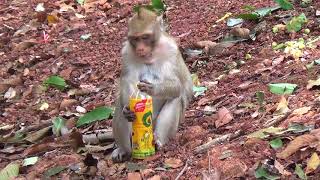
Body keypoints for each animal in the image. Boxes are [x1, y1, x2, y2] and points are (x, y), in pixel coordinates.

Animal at [112, 7, 192, 162]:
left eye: (145, 37)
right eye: (135, 39)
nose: (140, 49)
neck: (151, 53)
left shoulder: (171, 49)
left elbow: (178, 86)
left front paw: (154, 88)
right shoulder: (126, 53)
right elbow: (127, 81)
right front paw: (128, 111)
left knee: (175, 98)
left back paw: (158, 142)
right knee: (119, 105)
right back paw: (125, 149)